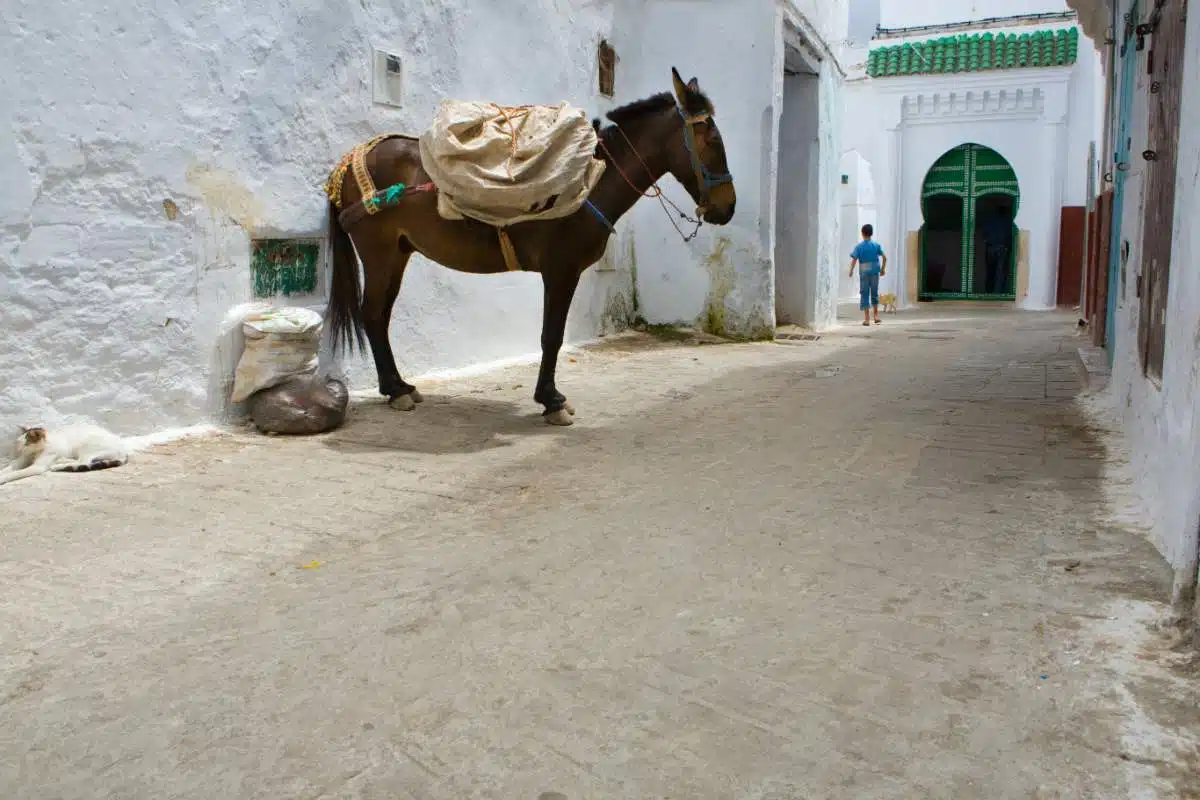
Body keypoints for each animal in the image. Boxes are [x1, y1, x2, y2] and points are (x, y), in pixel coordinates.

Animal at [0, 422, 129, 484]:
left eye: (26, 444)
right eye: (18, 442)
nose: (18, 449)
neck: (35, 452)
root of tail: (123, 449)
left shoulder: (38, 466)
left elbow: (16, 473)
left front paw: (3, 478)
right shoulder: (19, 462)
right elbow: (9, 469)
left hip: (88, 444)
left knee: (83, 461)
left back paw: (58, 465)